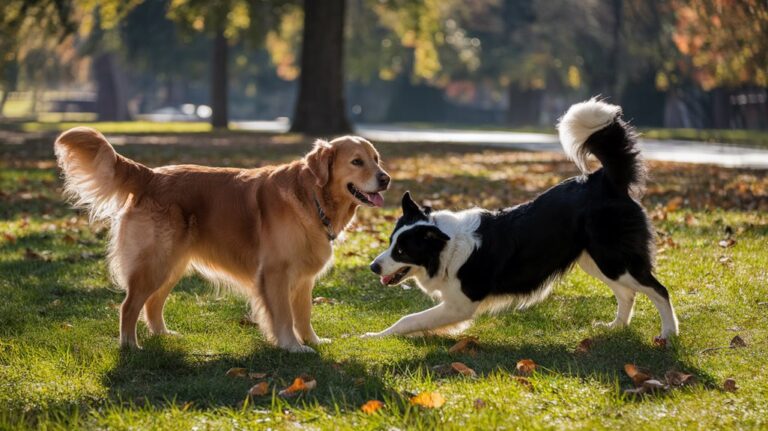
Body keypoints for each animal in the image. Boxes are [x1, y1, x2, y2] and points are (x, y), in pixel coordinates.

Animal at [54, 129, 390, 354]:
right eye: (357, 162)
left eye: (376, 159)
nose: (386, 178)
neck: (313, 196)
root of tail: (150, 174)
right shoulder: (276, 273)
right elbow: (283, 316)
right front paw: (293, 347)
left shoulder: (304, 278)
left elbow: (304, 314)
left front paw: (313, 341)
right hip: (155, 262)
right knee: (128, 305)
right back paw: (130, 346)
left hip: (172, 265)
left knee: (151, 304)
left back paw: (163, 335)